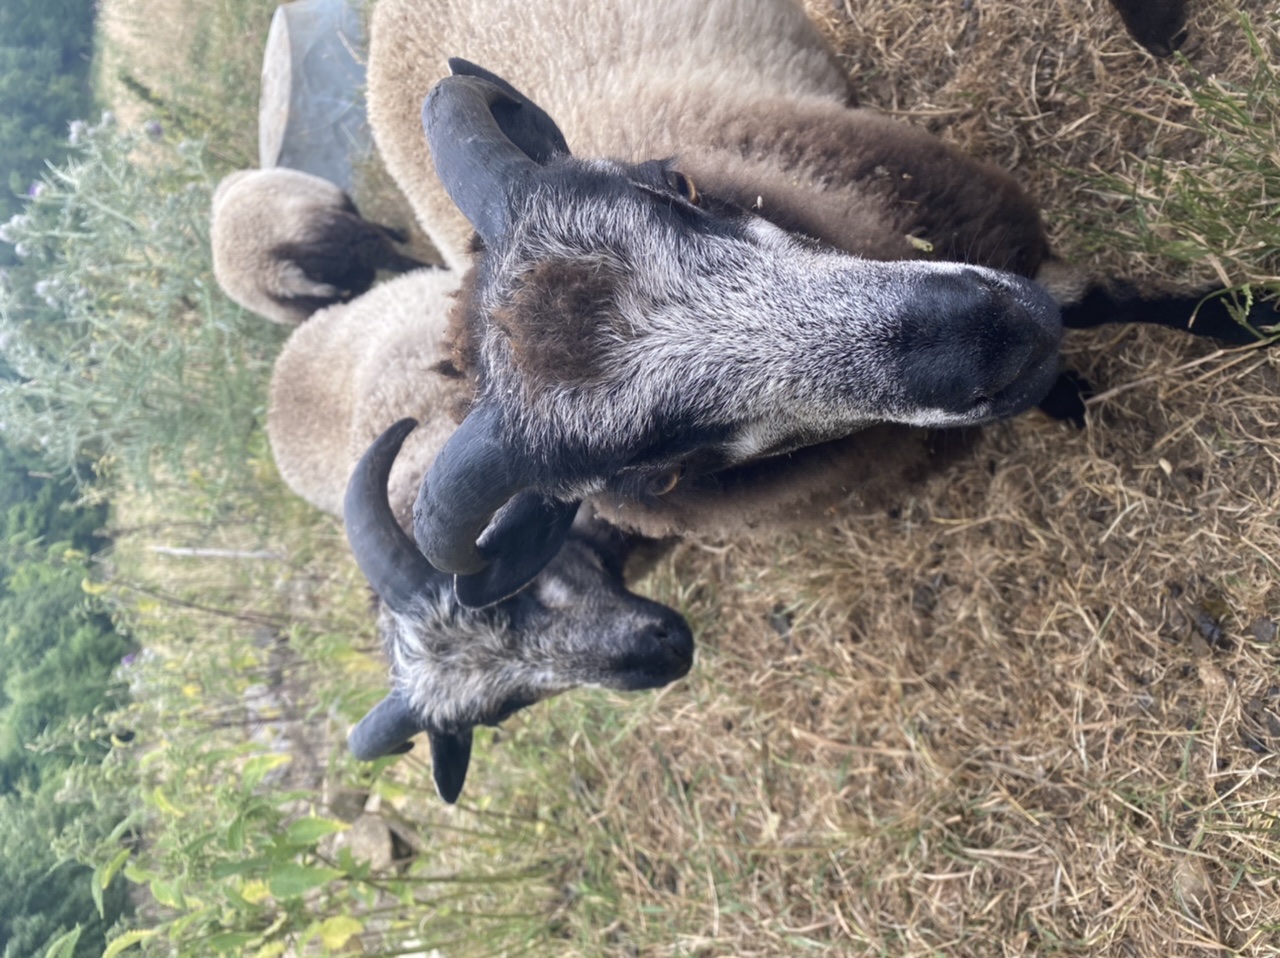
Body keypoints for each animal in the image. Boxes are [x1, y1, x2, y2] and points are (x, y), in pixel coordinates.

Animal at [361, 0, 1277, 607]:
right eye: (658, 474)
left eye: (677, 186)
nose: (991, 340)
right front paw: (1067, 395)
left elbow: (1103, 299)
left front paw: (1245, 315)